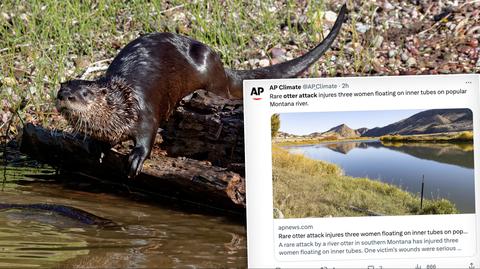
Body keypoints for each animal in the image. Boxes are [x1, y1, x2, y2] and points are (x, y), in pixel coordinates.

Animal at [56, 4, 346, 178]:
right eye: (63, 87)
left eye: (85, 93)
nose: (64, 96)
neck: (121, 105)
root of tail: (221, 66)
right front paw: (96, 147)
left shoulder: (144, 111)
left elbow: (148, 135)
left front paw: (136, 158)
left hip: (209, 75)